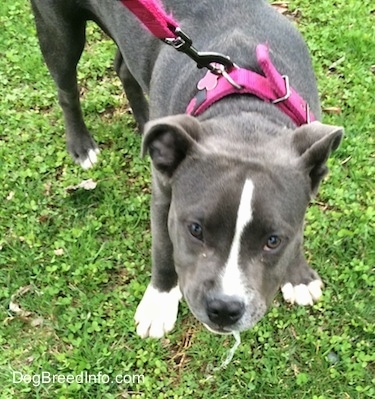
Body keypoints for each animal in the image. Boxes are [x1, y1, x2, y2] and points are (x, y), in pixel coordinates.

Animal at [30, 0, 346, 338]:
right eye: (195, 229)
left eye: (273, 240)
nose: (224, 308)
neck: (245, 114)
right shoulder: (164, 198)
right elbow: (163, 250)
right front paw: (159, 303)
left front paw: (298, 276)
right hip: (59, 33)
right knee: (66, 89)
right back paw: (81, 144)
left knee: (124, 68)